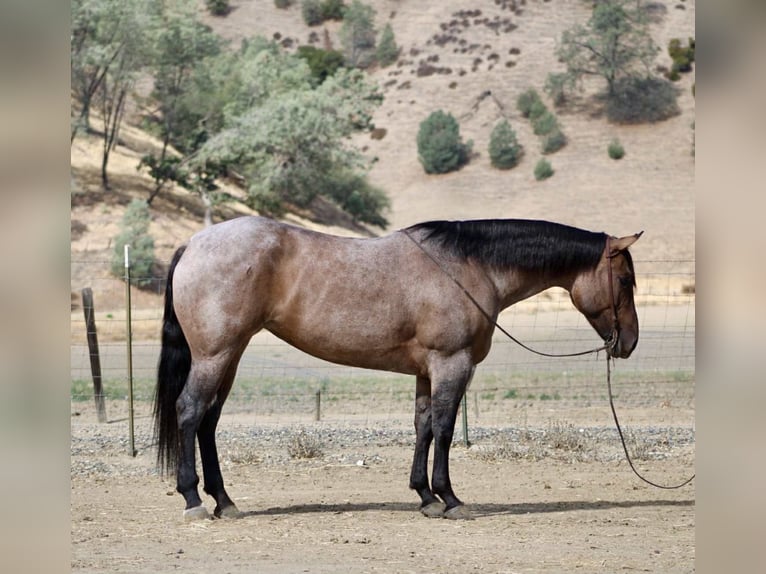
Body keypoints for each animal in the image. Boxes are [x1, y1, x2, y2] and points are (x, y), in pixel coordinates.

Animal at [154, 216, 642, 521]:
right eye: (624, 280)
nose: (630, 343)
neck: (469, 266)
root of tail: (193, 244)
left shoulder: (427, 371)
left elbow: (423, 426)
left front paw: (425, 496)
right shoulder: (452, 364)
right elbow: (444, 428)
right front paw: (450, 498)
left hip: (230, 356)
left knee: (209, 422)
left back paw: (225, 501)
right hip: (215, 355)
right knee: (190, 411)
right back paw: (194, 499)